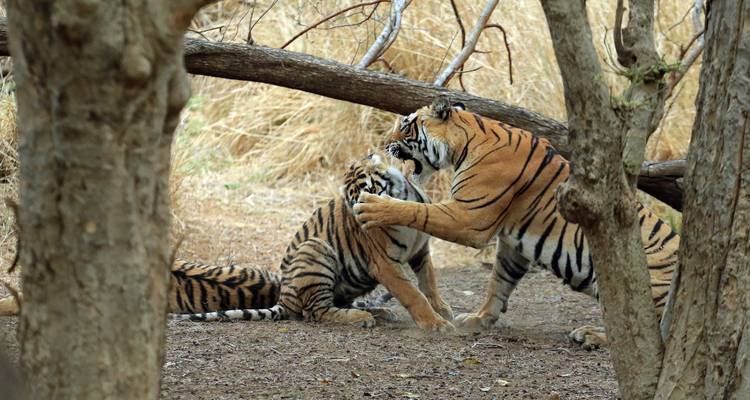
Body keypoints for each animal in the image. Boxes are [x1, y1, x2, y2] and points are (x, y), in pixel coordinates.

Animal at [173, 153, 455, 332]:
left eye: (369, 192)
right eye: (354, 200)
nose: (361, 214)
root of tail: (284, 297)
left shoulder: (421, 251)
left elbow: (429, 283)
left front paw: (443, 310)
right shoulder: (384, 263)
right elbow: (413, 294)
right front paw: (436, 324)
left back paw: (383, 313)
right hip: (316, 249)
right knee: (317, 311)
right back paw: (363, 317)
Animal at [353, 98, 679, 349]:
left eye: (405, 124)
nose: (384, 144)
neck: (465, 141)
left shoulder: (469, 218)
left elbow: (418, 210)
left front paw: (373, 206)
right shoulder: (514, 244)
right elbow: (498, 282)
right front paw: (478, 319)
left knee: (642, 330)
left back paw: (590, 336)